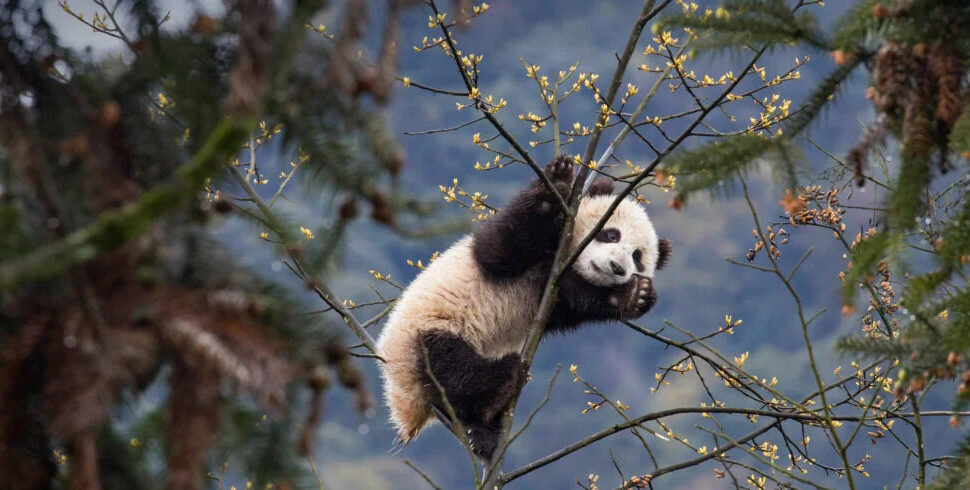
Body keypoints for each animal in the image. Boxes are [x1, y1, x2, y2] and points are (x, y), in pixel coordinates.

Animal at [376, 154, 671, 458]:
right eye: (612, 235)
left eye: (637, 257)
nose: (616, 267)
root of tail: (405, 405)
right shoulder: (504, 253)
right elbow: (502, 248)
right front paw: (559, 182)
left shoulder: (552, 292)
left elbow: (576, 302)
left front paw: (635, 295)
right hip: (425, 334)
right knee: (452, 370)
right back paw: (499, 389)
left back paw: (485, 428)